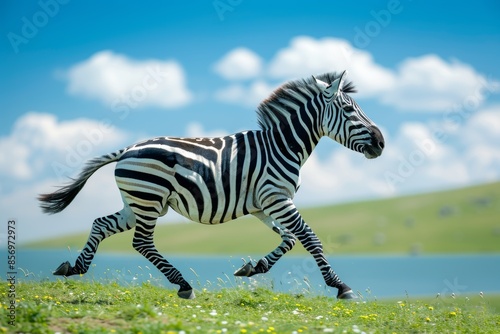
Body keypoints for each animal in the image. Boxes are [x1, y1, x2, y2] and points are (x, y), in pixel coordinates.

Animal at [39, 70, 384, 300]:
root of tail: (127, 150)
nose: (381, 142)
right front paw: (340, 286)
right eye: (349, 109)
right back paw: (183, 284)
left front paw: (253, 268)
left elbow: (289, 240)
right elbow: (310, 238)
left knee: (101, 224)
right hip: (149, 200)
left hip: (138, 202)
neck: (281, 146)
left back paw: (75, 268)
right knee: (142, 243)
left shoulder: (265, 204)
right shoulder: (277, 198)